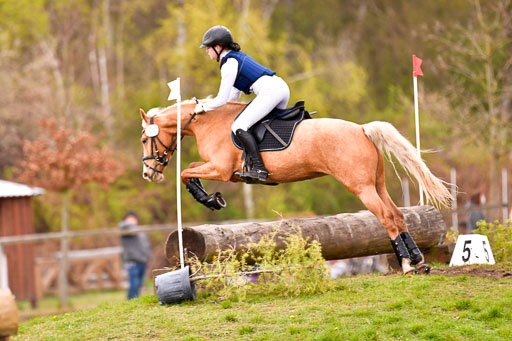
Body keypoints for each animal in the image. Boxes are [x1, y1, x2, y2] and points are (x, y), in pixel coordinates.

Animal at [140, 99, 452, 272]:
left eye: (144, 139)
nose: (148, 174)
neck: (211, 122)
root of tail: (362, 129)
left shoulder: (222, 169)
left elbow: (185, 172)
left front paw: (209, 199)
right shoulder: (220, 169)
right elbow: (190, 170)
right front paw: (210, 198)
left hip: (360, 187)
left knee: (386, 217)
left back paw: (407, 265)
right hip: (377, 184)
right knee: (397, 214)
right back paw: (418, 260)